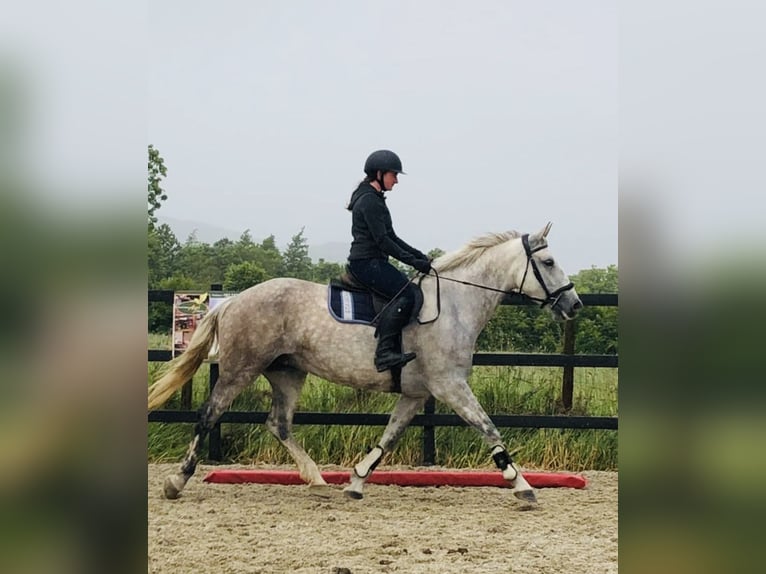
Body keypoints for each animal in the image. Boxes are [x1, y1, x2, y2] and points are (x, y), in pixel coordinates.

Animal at [148, 224, 584, 504]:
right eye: (548, 262)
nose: (574, 303)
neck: (456, 304)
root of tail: (236, 300)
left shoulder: (416, 394)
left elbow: (388, 438)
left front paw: (356, 482)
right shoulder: (450, 385)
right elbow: (488, 427)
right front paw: (521, 484)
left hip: (287, 371)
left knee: (279, 424)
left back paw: (317, 478)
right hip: (241, 368)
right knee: (209, 416)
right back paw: (176, 482)